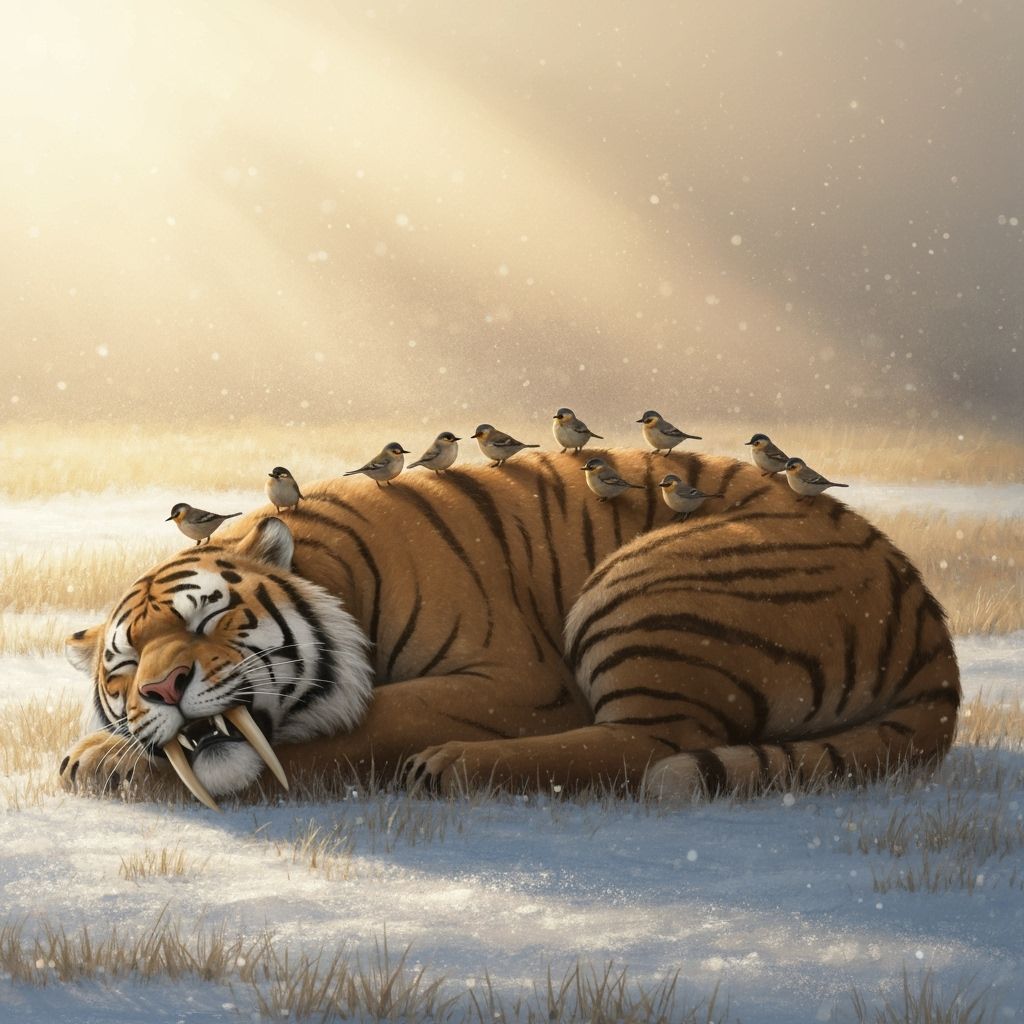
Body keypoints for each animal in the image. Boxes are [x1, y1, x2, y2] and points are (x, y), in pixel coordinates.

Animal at [59, 448, 960, 809]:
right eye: (124, 664)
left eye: (208, 613)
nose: (164, 689)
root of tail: (930, 628)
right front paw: (99, 753)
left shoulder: (520, 677)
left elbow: (377, 715)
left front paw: (113, 762)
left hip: (643, 586)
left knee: (653, 746)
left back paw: (454, 766)